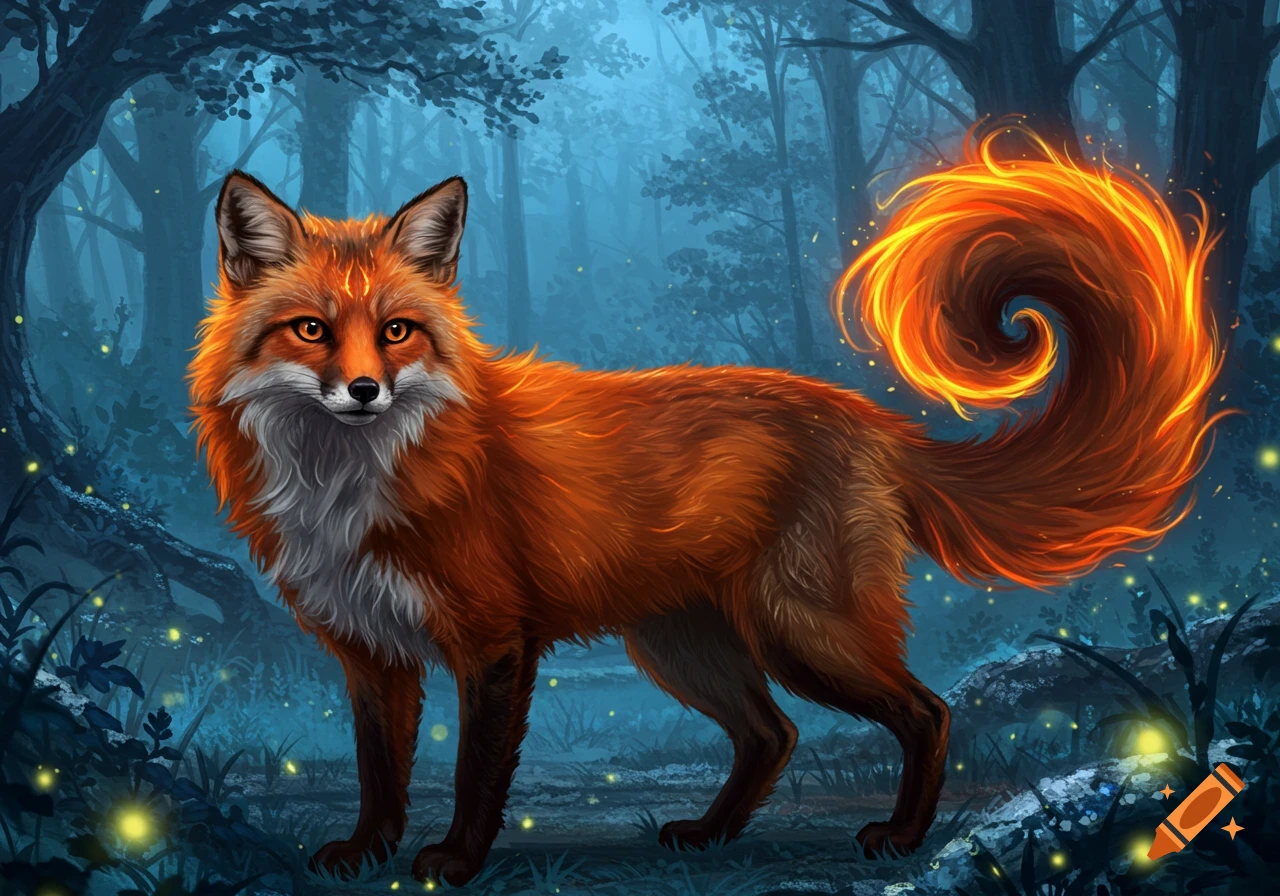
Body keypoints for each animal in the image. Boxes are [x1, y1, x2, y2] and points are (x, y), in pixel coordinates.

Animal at [189, 129, 1226, 886]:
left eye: (397, 330)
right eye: (312, 329)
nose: (364, 391)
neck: (352, 486)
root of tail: (866, 414)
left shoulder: (493, 643)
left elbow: (477, 775)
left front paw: (454, 861)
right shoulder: (370, 651)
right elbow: (379, 774)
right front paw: (368, 853)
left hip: (800, 632)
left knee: (925, 712)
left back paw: (900, 837)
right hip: (686, 646)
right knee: (774, 735)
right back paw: (715, 834)